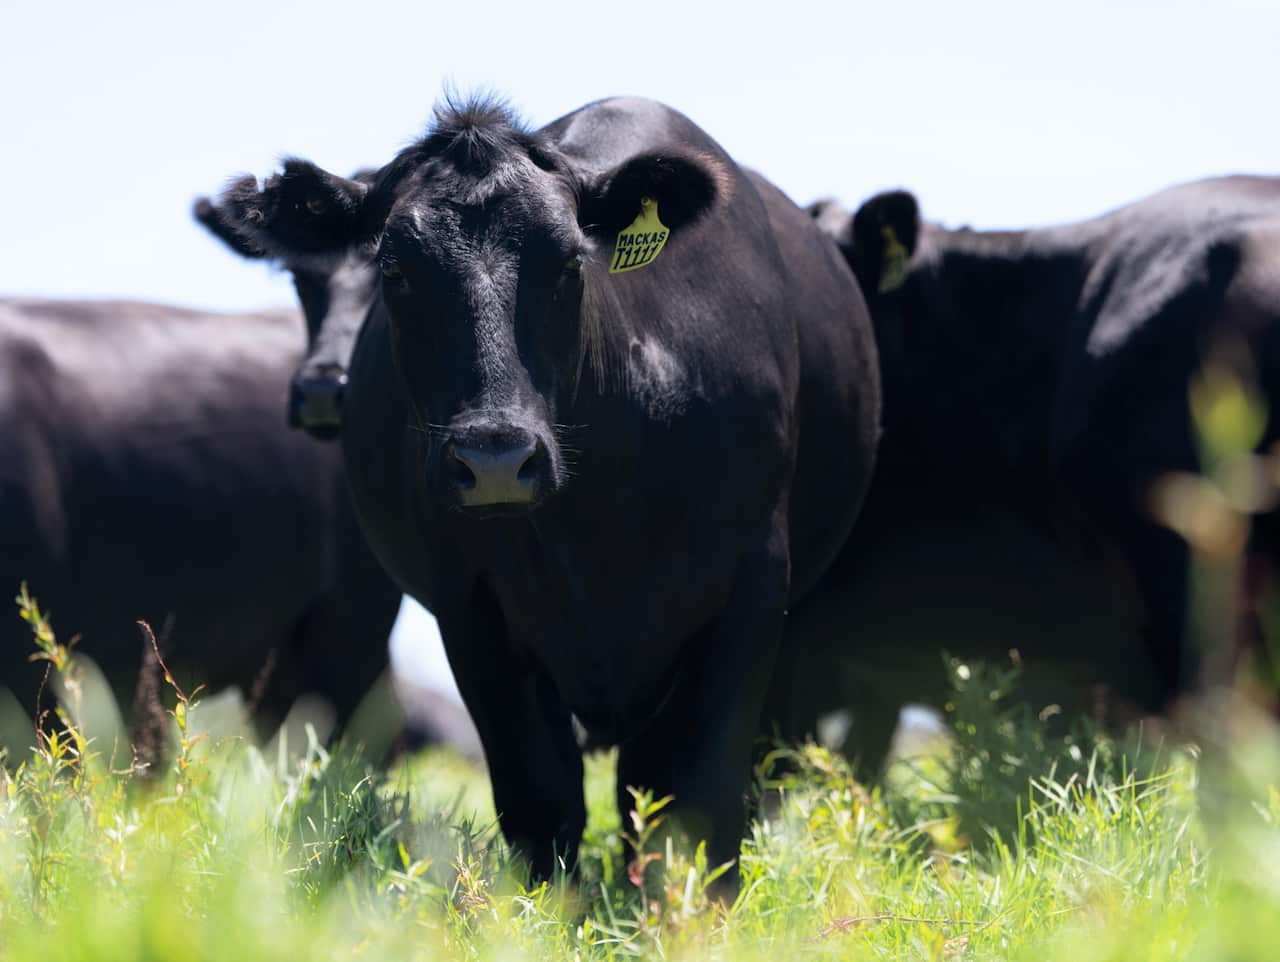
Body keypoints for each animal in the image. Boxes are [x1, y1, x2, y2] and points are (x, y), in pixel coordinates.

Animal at [213, 94, 882, 887]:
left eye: (568, 263)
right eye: (396, 270)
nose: (496, 456)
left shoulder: (753, 583)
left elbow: (704, 797)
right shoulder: (470, 607)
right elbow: (541, 801)